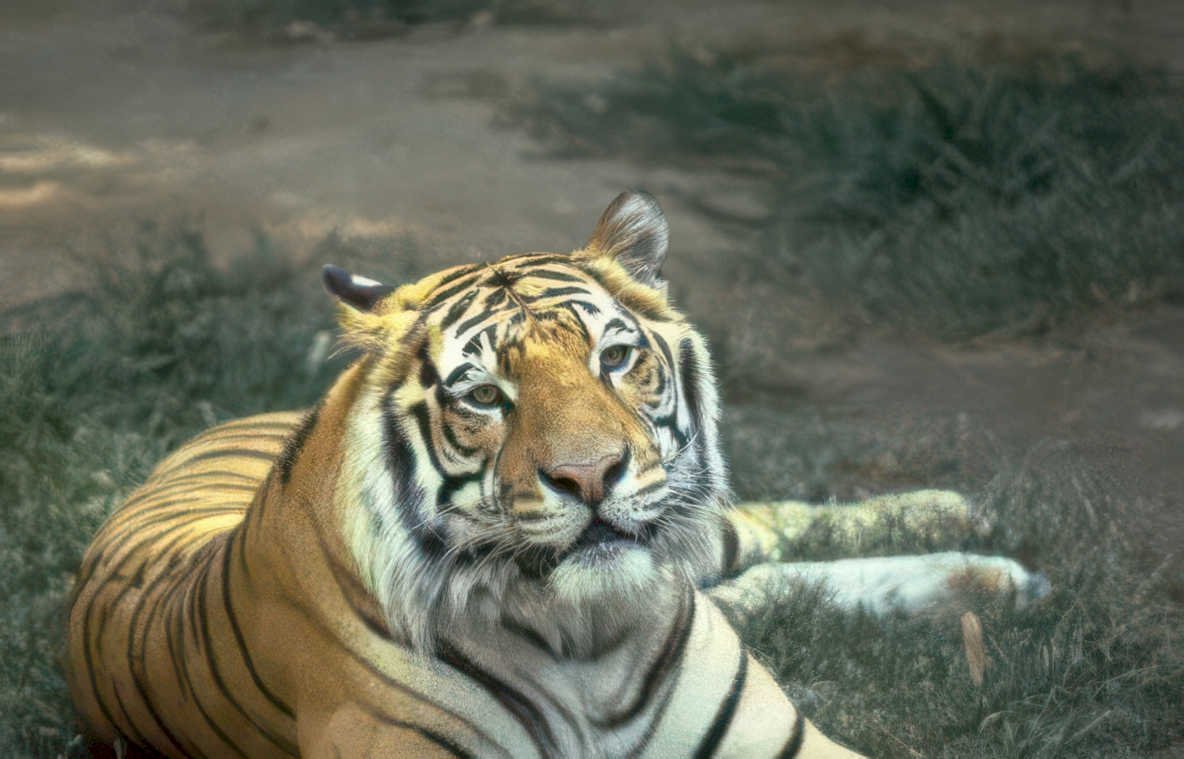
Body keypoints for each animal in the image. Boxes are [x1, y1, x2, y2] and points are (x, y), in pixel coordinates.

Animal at [66, 191, 1045, 758]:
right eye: (484, 395)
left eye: (614, 358)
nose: (590, 474)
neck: (589, 644)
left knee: (762, 530)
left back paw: (977, 535)